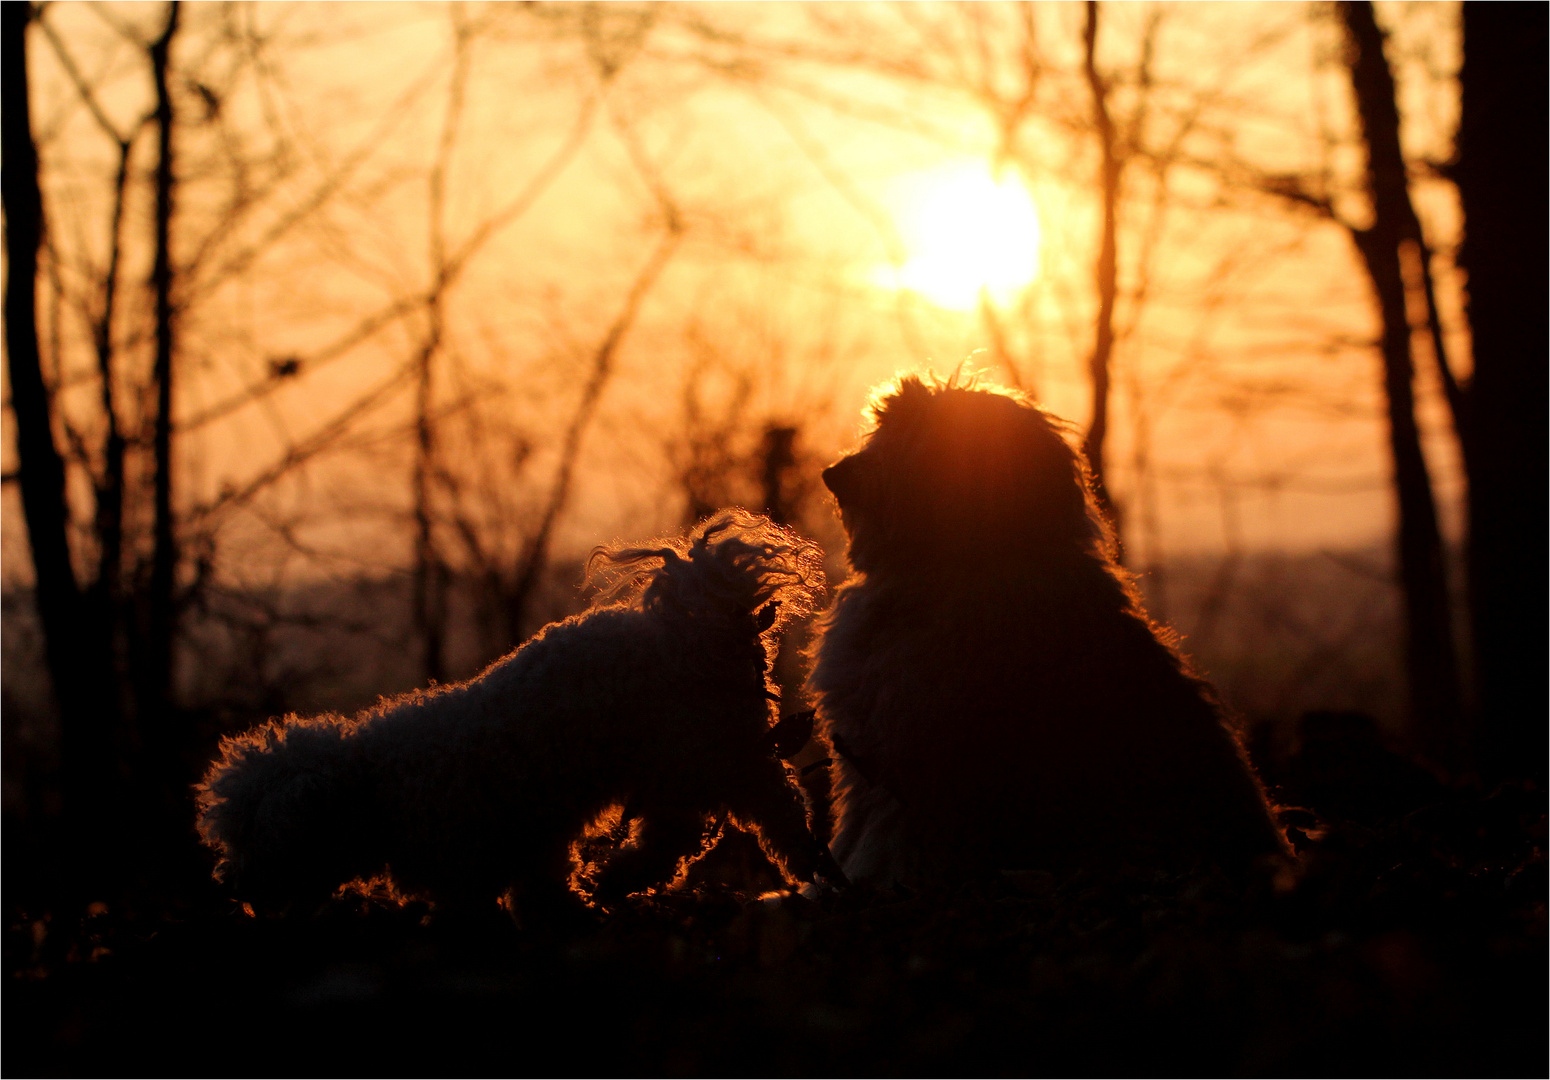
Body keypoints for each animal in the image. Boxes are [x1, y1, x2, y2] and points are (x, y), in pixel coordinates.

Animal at [201, 508, 849, 911]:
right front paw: (569, 910)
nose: (231, 887)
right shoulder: (533, 840)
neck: (374, 784)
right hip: (678, 762)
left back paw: (812, 868)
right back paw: (619, 880)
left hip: (714, 750)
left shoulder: (473, 856)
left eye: (253, 834)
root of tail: (702, 618)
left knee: (769, 810)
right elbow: (541, 886)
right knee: (678, 833)